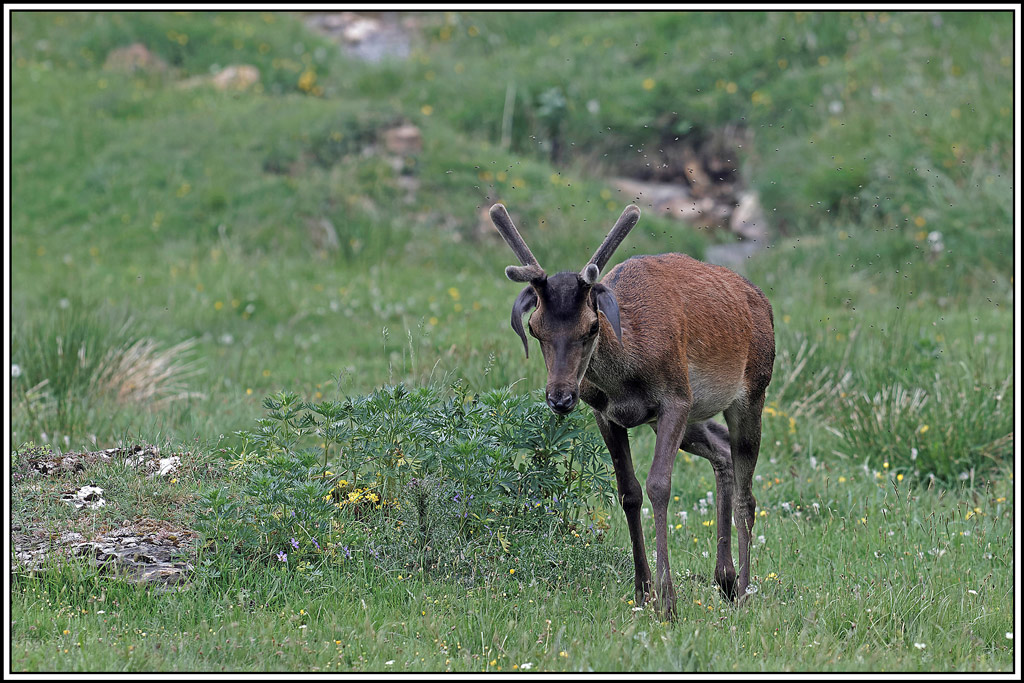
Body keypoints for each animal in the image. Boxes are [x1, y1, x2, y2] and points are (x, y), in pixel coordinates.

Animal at [489, 202, 775, 618]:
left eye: (592, 327)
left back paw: (745, 590)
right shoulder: (605, 413)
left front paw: (668, 602)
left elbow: (659, 486)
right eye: (535, 327)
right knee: (721, 451)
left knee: (746, 494)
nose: (561, 398)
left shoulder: (676, 397)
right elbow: (629, 492)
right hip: (688, 419)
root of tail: (763, 302)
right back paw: (724, 578)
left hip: (751, 390)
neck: (627, 376)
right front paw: (643, 592)